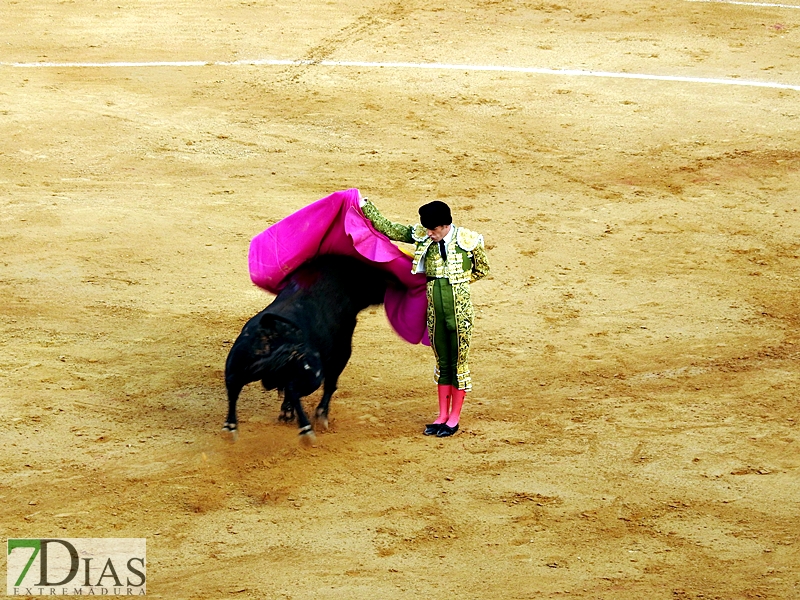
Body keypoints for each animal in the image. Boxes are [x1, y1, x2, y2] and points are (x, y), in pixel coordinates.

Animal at [222, 253, 396, 440]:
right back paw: (306, 429)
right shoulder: (341, 353)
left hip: (236, 363)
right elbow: (331, 385)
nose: (394, 283)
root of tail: (269, 331)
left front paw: (287, 414)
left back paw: (230, 427)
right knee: (294, 390)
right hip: (312, 374)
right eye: (375, 275)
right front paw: (320, 416)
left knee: (233, 387)